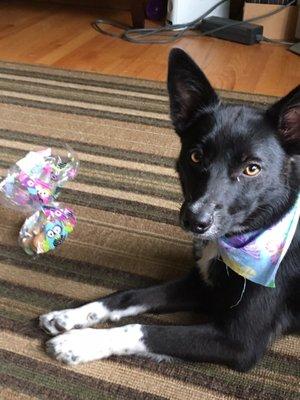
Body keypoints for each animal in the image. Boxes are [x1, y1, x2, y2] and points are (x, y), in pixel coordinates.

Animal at [39, 50, 300, 372]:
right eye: (196, 156)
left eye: (252, 168)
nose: (195, 221)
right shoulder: (202, 283)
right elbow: (129, 295)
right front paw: (69, 316)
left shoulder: (240, 342)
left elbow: (142, 329)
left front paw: (79, 342)